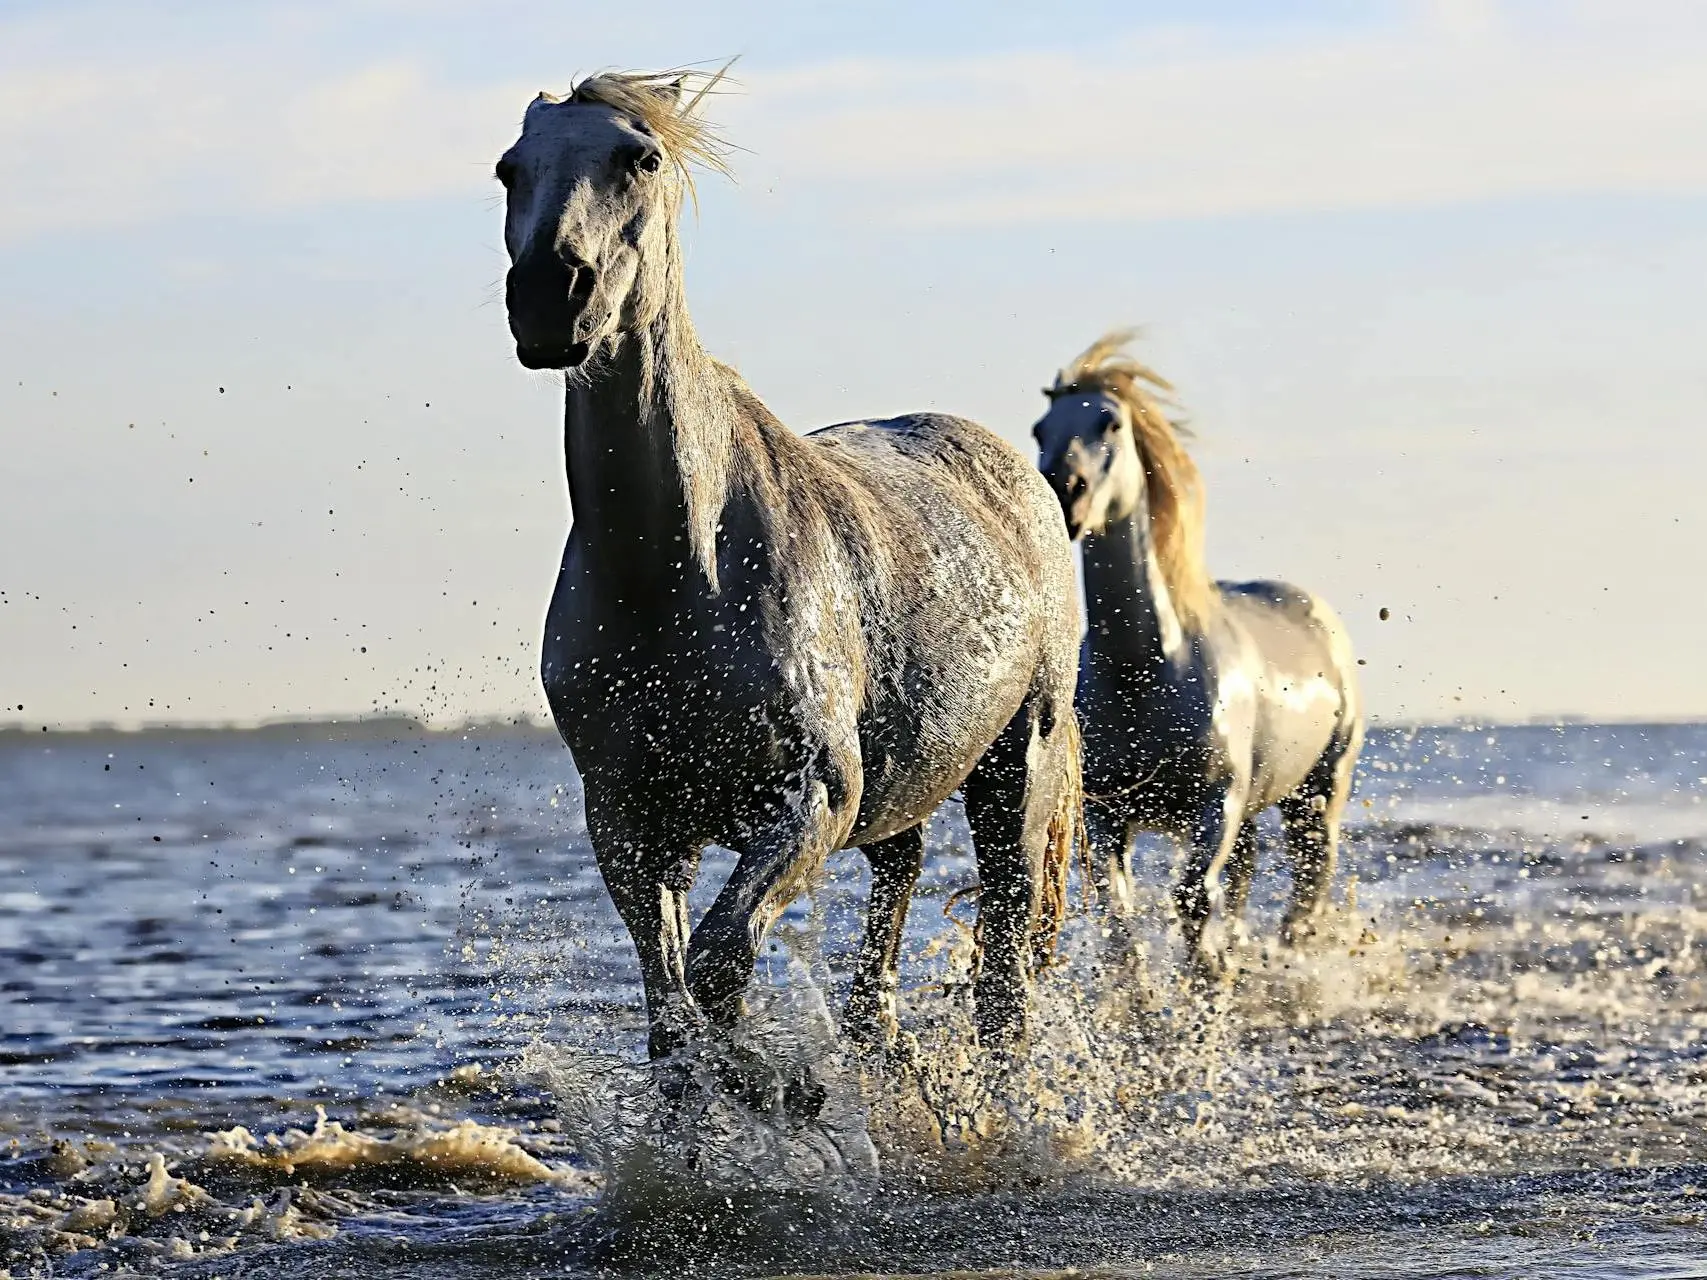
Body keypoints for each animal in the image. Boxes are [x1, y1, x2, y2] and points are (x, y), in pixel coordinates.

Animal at [495, 69, 1078, 1092]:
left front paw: (772, 1094)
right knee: (895, 902)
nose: (548, 298)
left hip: (1018, 769)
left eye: (640, 158)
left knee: (1004, 970)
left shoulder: (810, 799)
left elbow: (720, 965)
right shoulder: (631, 820)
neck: (675, 571)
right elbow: (672, 1009)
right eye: (507, 168)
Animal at [1024, 336, 1358, 976]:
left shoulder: (1215, 801)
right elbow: (1119, 915)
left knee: (1309, 881)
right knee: (1249, 873)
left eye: (1110, 422)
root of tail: (1319, 616)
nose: (1063, 490)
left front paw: (1205, 985)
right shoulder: (1109, 815)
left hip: (1319, 791)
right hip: (1257, 807)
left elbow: (1193, 899)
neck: (1145, 672)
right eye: (1039, 428)